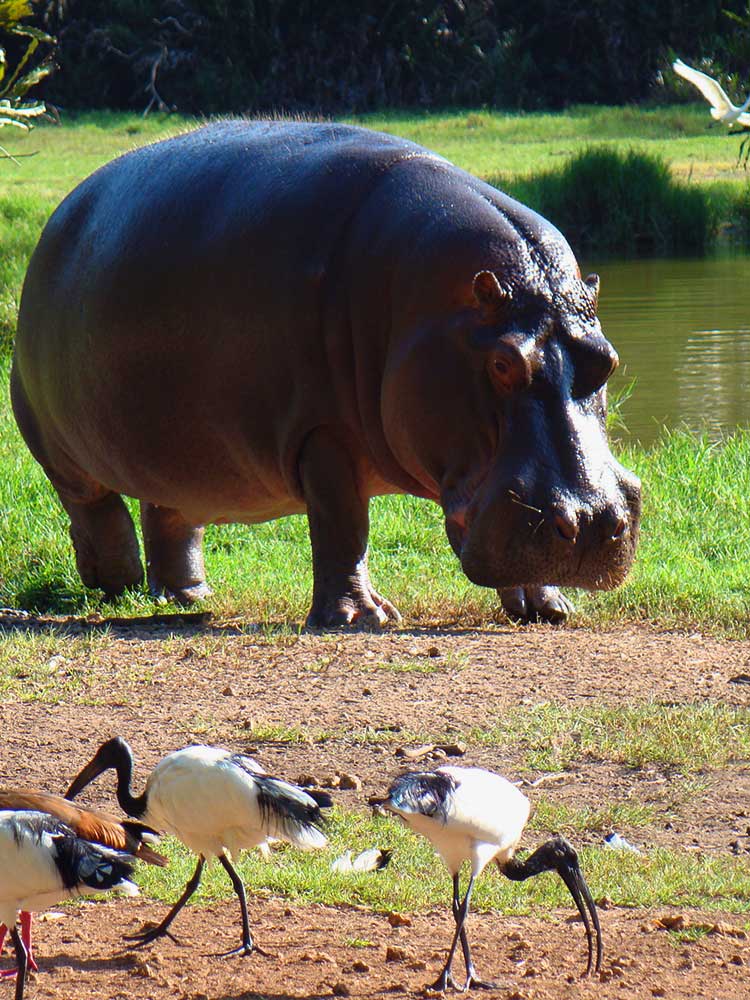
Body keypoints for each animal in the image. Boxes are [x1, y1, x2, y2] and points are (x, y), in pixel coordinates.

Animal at [11, 120, 640, 627]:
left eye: (608, 359)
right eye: (502, 363)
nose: (591, 520)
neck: (426, 302)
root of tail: (59, 215)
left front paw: (550, 608)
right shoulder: (321, 431)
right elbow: (343, 525)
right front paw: (363, 618)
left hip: (174, 446)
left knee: (170, 512)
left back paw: (188, 598)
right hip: (54, 443)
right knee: (93, 507)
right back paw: (113, 583)